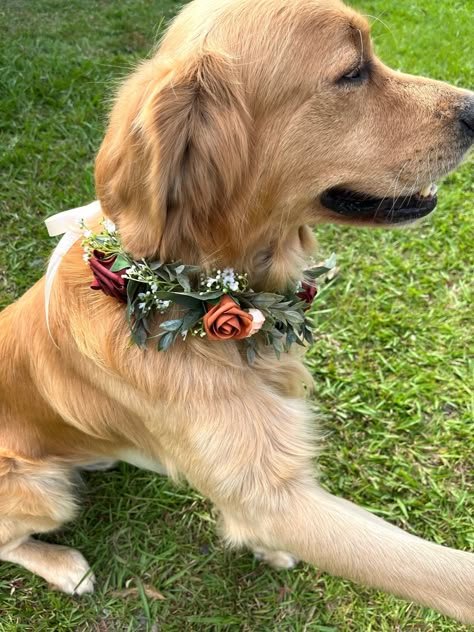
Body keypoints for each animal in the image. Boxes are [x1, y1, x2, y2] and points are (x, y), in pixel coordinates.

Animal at [0, 0, 474, 624]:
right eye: (352, 71)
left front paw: (267, 550)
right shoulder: (273, 497)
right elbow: (441, 573)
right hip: (42, 492)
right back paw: (63, 566)